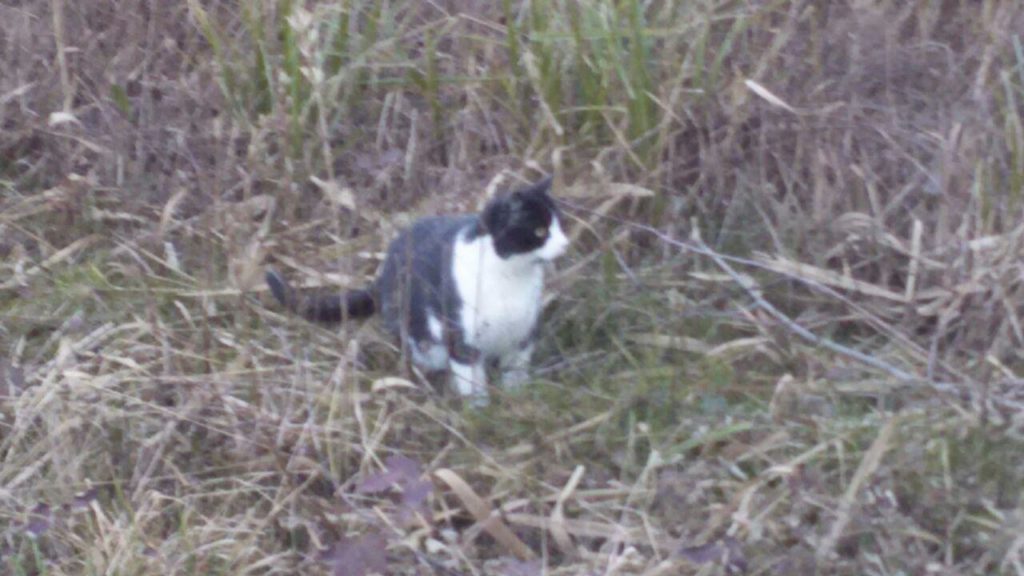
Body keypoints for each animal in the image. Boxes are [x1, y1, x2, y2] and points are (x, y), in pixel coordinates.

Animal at [264, 176, 569, 403]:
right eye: (540, 231)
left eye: (560, 225)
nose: (566, 244)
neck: (511, 276)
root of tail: (381, 277)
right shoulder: (460, 335)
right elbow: (470, 379)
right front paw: (479, 411)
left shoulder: (524, 332)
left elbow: (516, 371)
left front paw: (516, 398)